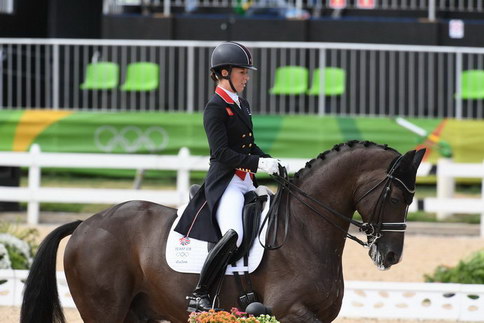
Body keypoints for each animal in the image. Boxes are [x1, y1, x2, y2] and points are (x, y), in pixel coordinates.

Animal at [21, 141, 424, 323]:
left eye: (412, 198)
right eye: (396, 196)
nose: (390, 256)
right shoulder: (290, 311)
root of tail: (87, 224)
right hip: (104, 310)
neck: (305, 232)